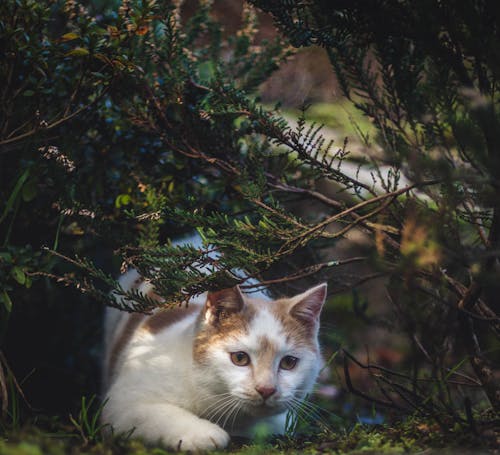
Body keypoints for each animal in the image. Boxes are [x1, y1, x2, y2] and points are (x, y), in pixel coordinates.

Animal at [102, 270, 328, 452]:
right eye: (240, 358)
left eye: (289, 363)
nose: (266, 389)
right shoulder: (120, 403)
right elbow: (155, 414)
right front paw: (202, 434)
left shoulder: (280, 422)